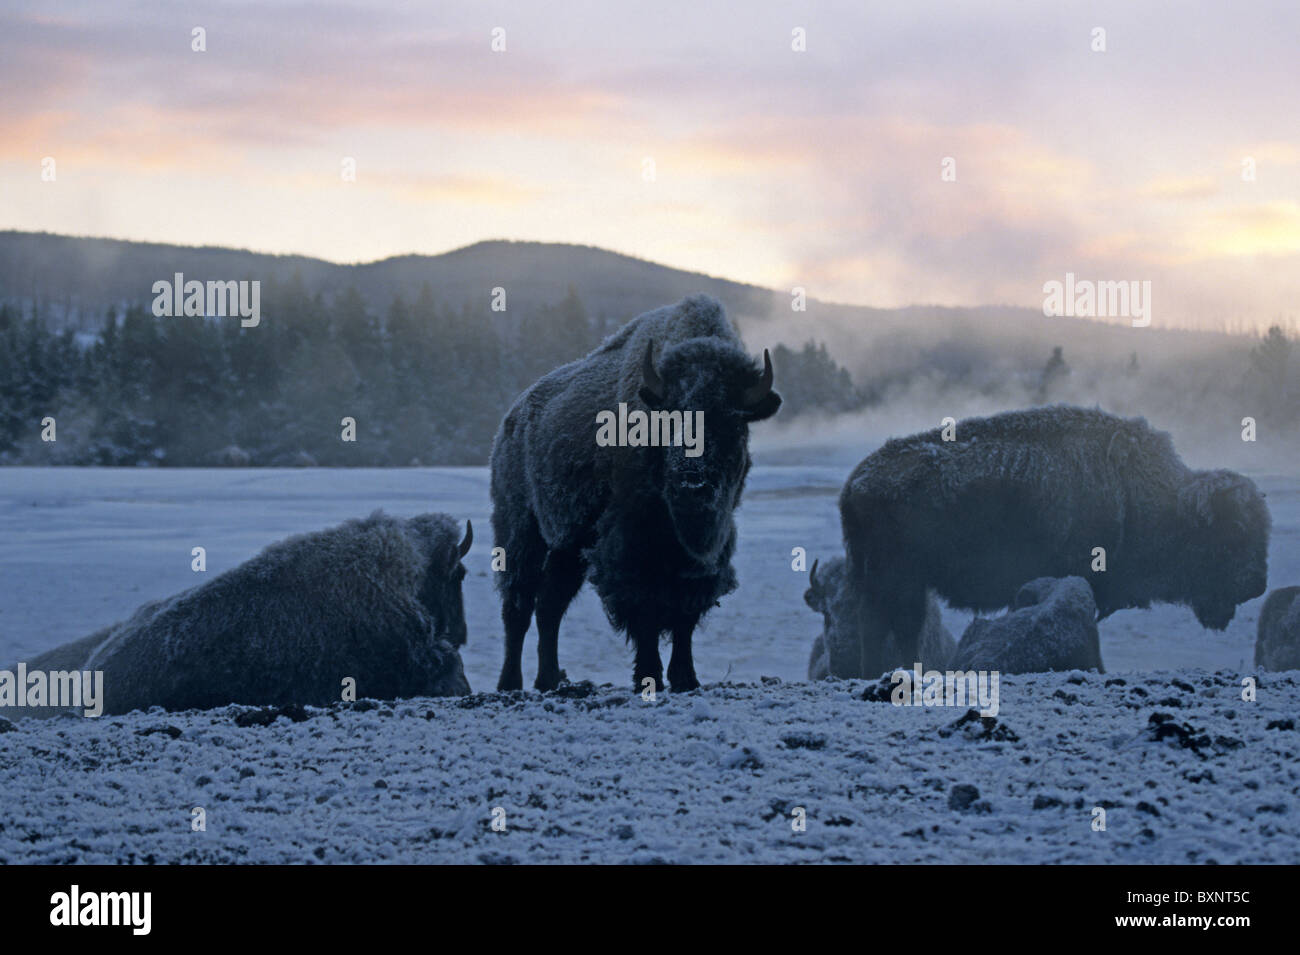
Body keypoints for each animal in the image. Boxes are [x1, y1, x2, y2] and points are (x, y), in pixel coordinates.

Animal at [491, 294, 780, 691]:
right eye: (669, 417)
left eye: (732, 420)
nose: (691, 481)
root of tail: (512, 419)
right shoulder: (630, 547)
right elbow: (645, 610)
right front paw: (649, 676)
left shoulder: (701, 556)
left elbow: (684, 614)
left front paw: (686, 677)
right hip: (520, 530)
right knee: (517, 605)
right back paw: (510, 681)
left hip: (569, 546)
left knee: (550, 605)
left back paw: (549, 679)